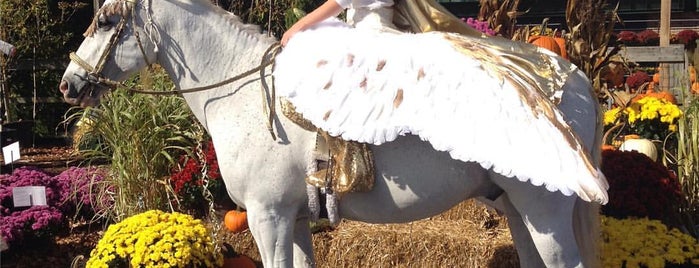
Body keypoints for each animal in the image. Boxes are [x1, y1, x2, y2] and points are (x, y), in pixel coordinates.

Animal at [58, 1, 608, 266]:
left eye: (105, 20)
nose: (69, 84)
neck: (242, 90)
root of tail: (574, 81)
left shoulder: (269, 219)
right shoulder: (295, 220)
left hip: (545, 212)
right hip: (516, 209)